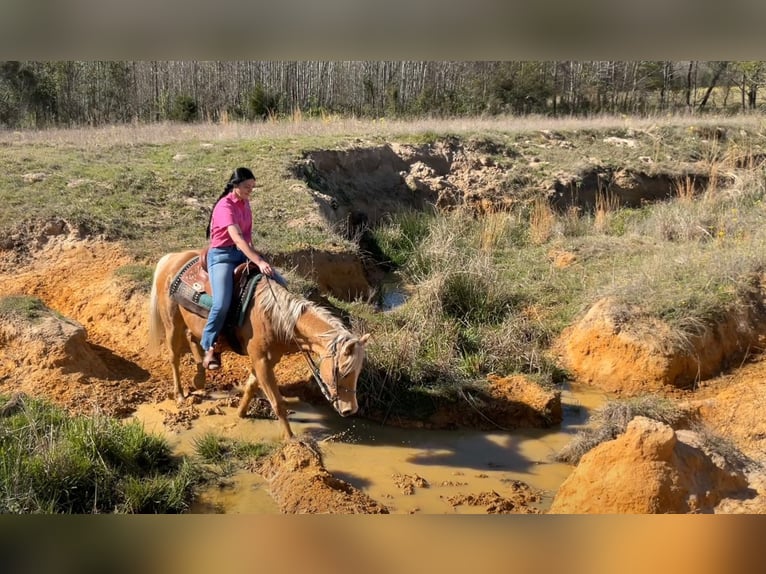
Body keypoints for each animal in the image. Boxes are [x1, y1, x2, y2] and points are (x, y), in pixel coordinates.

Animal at [147, 250, 370, 439]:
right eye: (342, 371)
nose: (351, 409)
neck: (274, 316)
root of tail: (172, 258)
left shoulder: (267, 360)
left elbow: (251, 386)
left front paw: (240, 414)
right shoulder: (261, 359)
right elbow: (277, 402)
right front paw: (291, 439)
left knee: (194, 339)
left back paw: (201, 378)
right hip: (171, 322)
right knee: (174, 357)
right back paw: (180, 395)